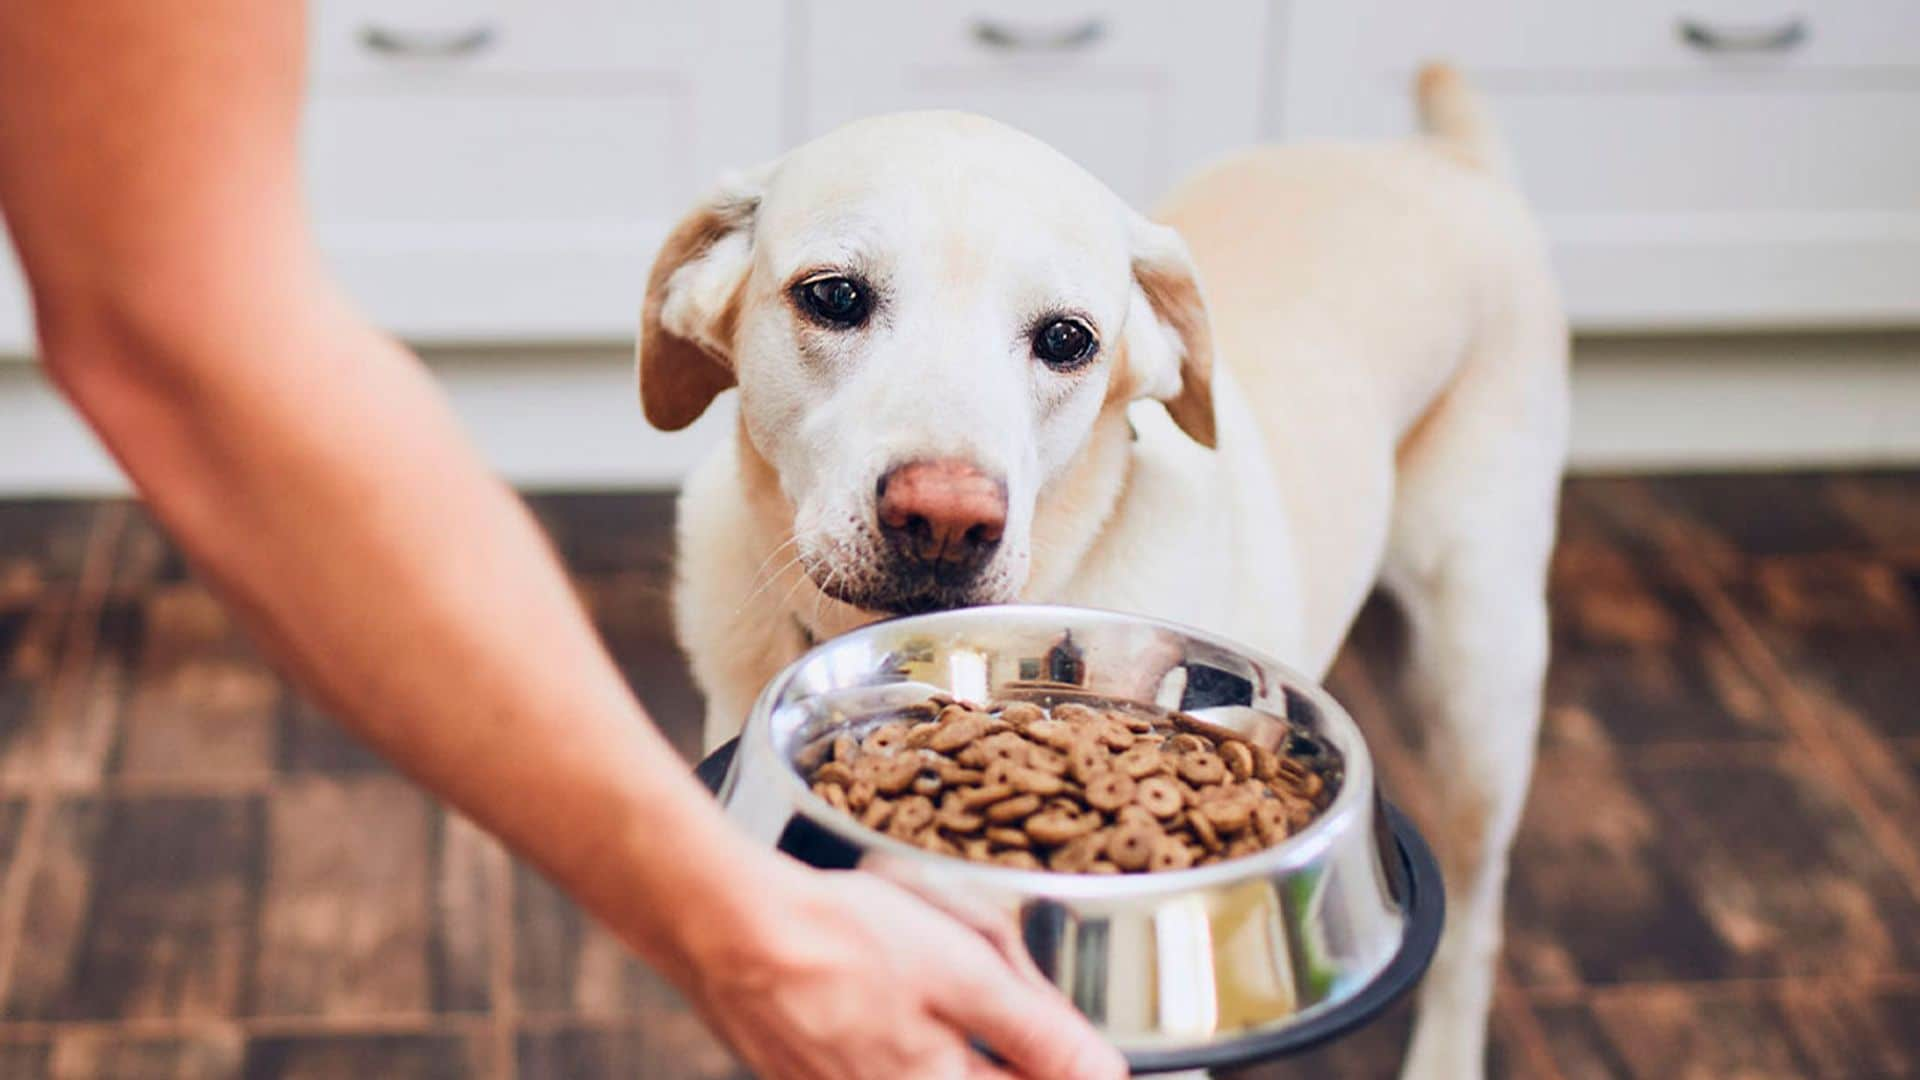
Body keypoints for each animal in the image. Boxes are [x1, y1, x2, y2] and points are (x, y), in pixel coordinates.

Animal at [637, 67, 1566, 1076]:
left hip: (1479, 683)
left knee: (1476, 925)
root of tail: (1447, 158)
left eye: (1066, 340)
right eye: (835, 296)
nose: (945, 521)